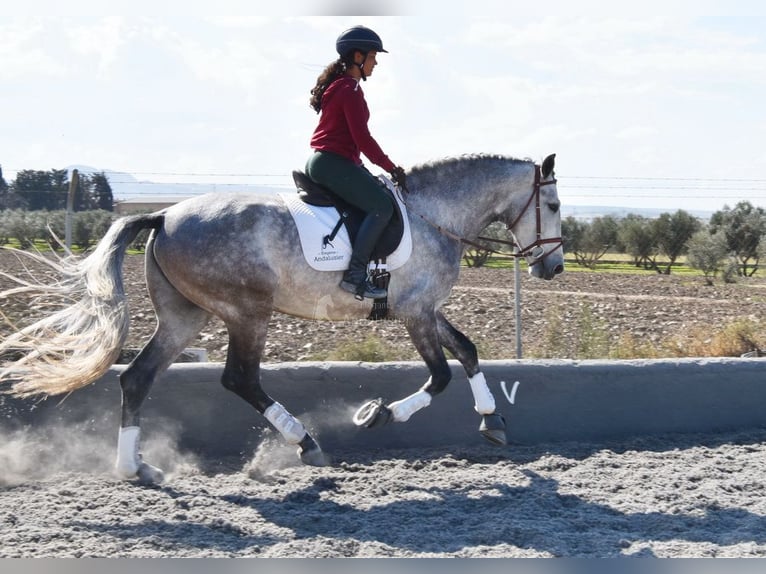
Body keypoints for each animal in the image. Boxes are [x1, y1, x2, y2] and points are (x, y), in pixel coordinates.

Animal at [0, 151, 564, 484]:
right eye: (555, 204)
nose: (553, 267)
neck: (436, 216)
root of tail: (164, 215)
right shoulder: (416, 312)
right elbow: (441, 374)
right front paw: (378, 414)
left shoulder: (426, 310)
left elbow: (467, 351)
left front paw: (492, 420)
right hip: (247, 313)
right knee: (239, 379)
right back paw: (305, 442)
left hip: (185, 318)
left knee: (138, 378)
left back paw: (134, 466)